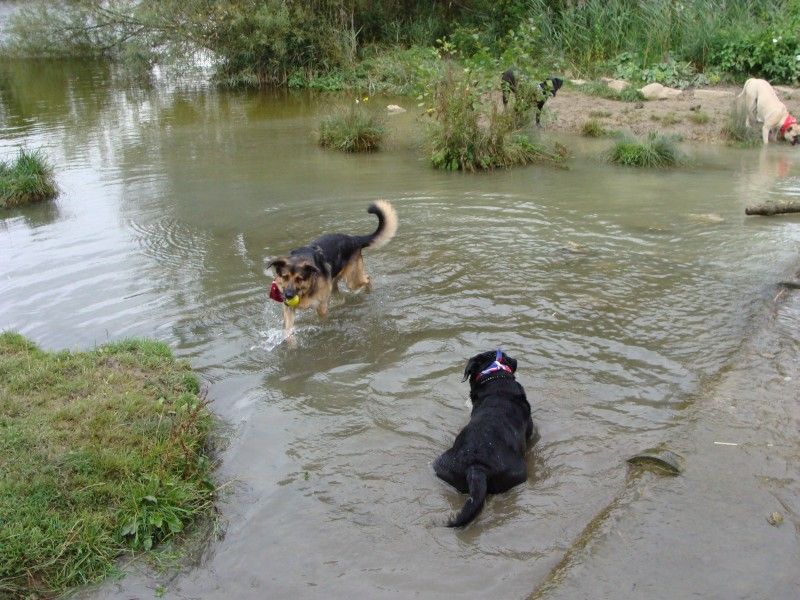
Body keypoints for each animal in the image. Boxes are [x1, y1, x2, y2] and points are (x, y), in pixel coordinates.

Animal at [268, 200, 396, 332]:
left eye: (299, 278)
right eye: (285, 277)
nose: (288, 295)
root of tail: (354, 239)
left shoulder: (321, 307)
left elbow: (322, 320)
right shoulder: (288, 309)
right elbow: (288, 331)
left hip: (352, 281)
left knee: (367, 278)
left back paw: (368, 291)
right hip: (334, 283)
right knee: (341, 295)